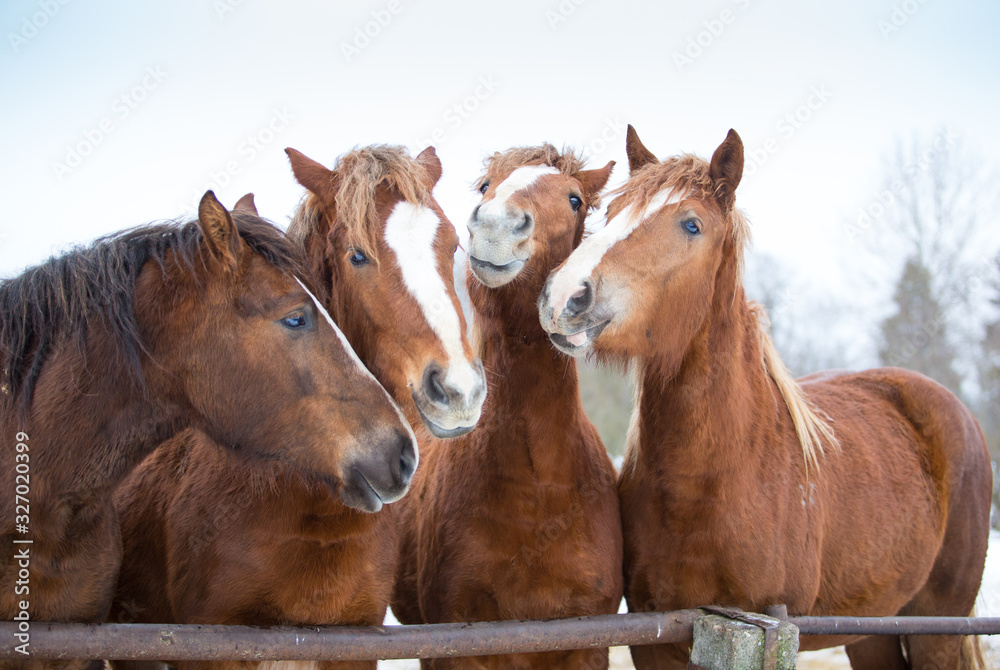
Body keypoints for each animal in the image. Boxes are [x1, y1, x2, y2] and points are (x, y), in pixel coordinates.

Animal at [544, 127, 996, 670]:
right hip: (872, 629)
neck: (715, 480)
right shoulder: (655, 641)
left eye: (691, 224)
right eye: (610, 213)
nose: (564, 295)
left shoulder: (765, 631)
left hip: (937, 627)